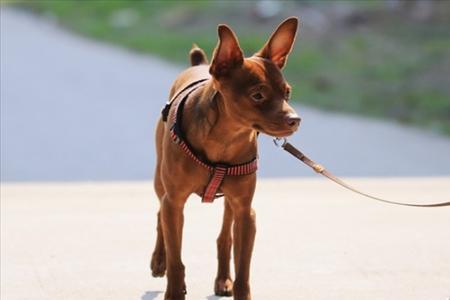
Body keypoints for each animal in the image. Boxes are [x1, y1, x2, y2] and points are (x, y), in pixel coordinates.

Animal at [150, 17, 298, 298]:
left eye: (287, 93)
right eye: (258, 95)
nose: (295, 119)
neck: (225, 139)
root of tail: (199, 64)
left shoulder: (246, 213)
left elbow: (243, 271)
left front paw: (237, 287)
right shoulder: (175, 203)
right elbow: (177, 260)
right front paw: (174, 290)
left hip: (231, 202)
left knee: (224, 237)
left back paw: (222, 279)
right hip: (160, 183)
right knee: (160, 214)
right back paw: (158, 260)